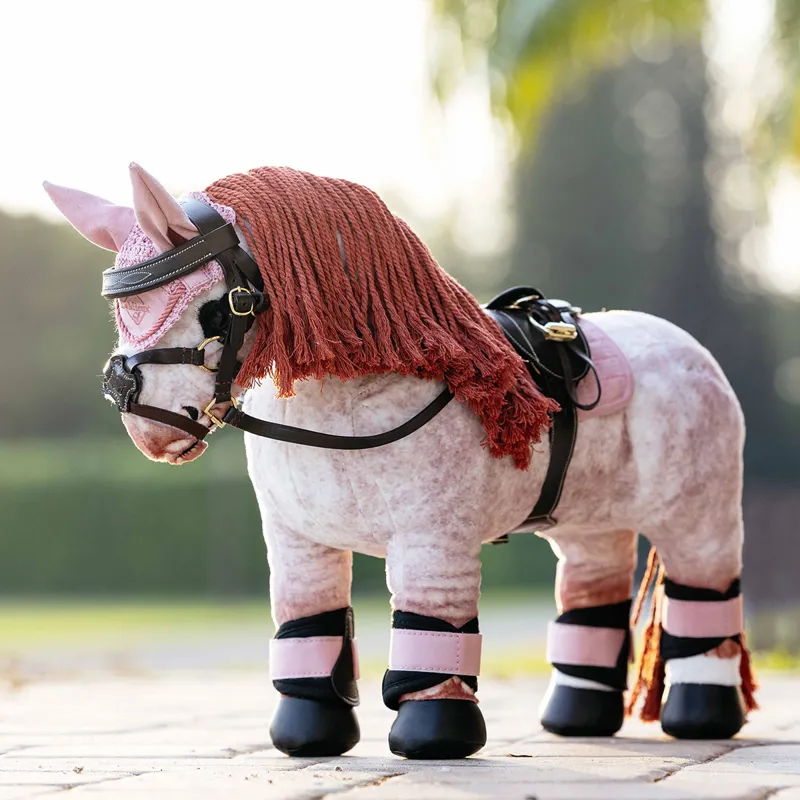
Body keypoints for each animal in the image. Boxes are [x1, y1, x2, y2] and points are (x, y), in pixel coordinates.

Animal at [45, 163, 756, 759]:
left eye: (216, 306)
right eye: (120, 309)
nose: (142, 420)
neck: (345, 399)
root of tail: (689, 348)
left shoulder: (432, 538)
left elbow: (429, 628)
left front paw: (434, 738)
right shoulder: (297, 540)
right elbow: (308, 622)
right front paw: (308, 737)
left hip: (699, 515)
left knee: (705, 595)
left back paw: (701, 716)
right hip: (590, 522)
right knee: (592, 592)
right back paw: (575, 720)